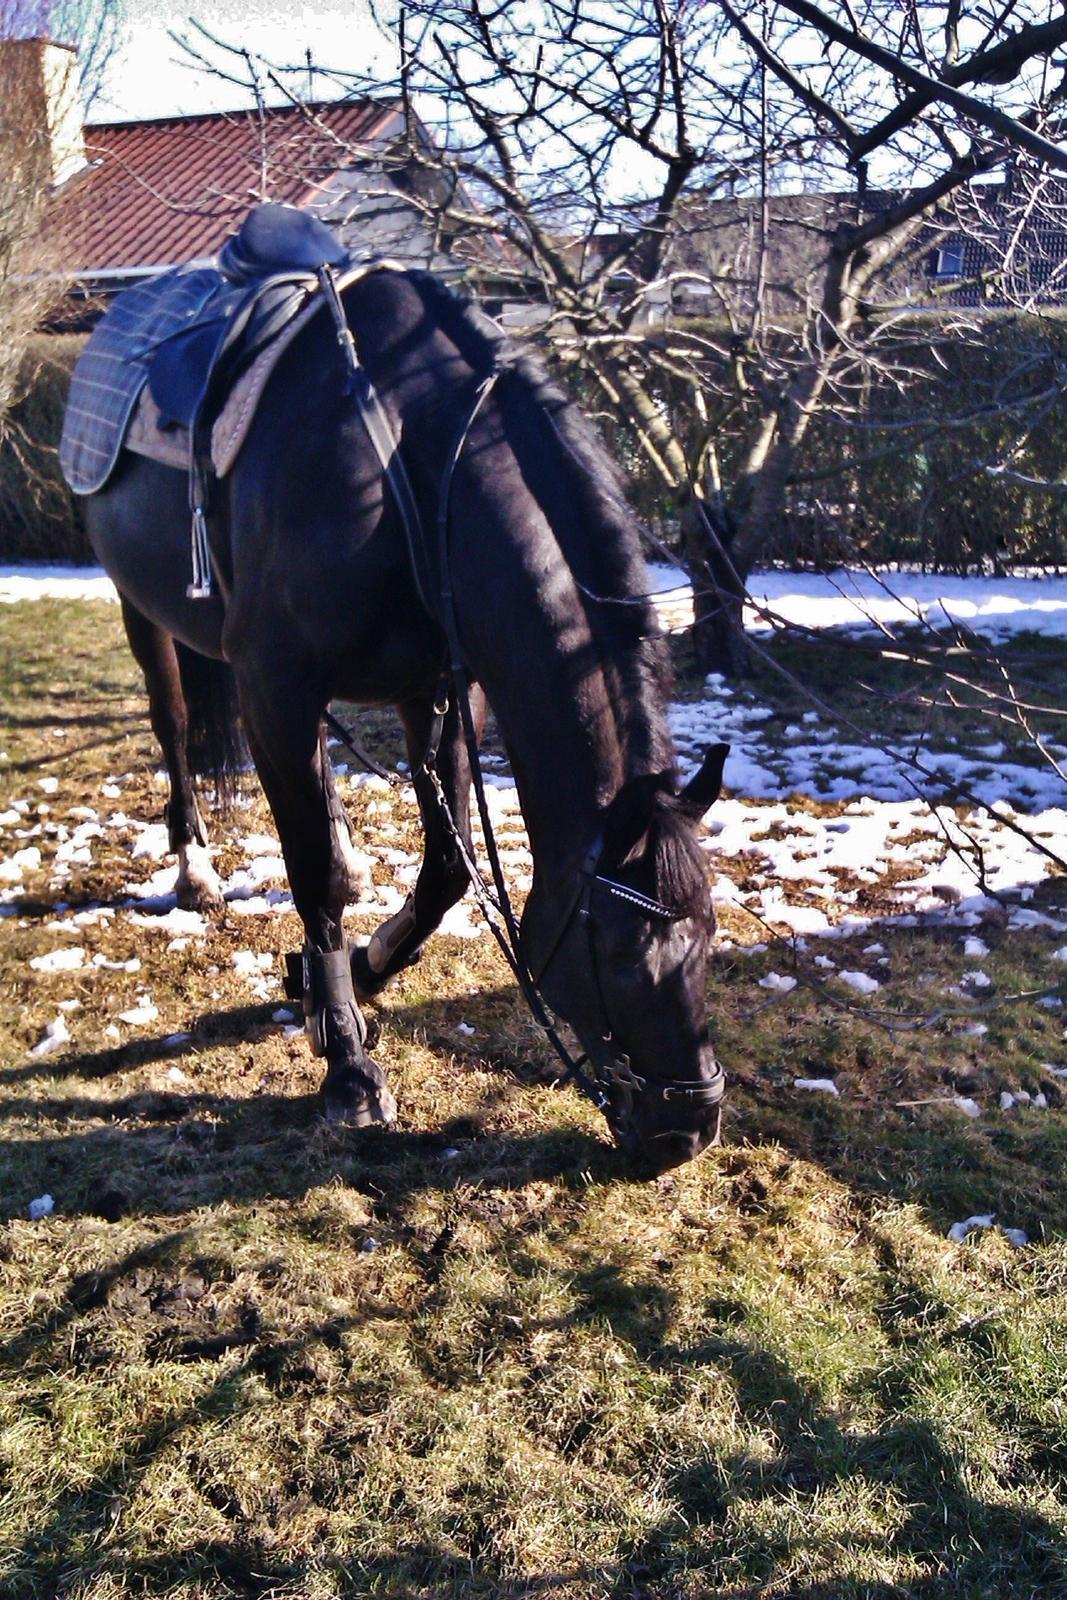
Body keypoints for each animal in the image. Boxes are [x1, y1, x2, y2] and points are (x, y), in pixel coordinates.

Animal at [79, 262, 726, 1177]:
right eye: (620, 955)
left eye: (708, 937)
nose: (688, 1131)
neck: (397, 467)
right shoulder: (277, 685)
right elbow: (310, 873)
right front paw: (347, 1062)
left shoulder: (440, 690)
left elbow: (445, 867)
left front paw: (355, 970)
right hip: (141, 606)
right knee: (173, 726)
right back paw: (194, 867)